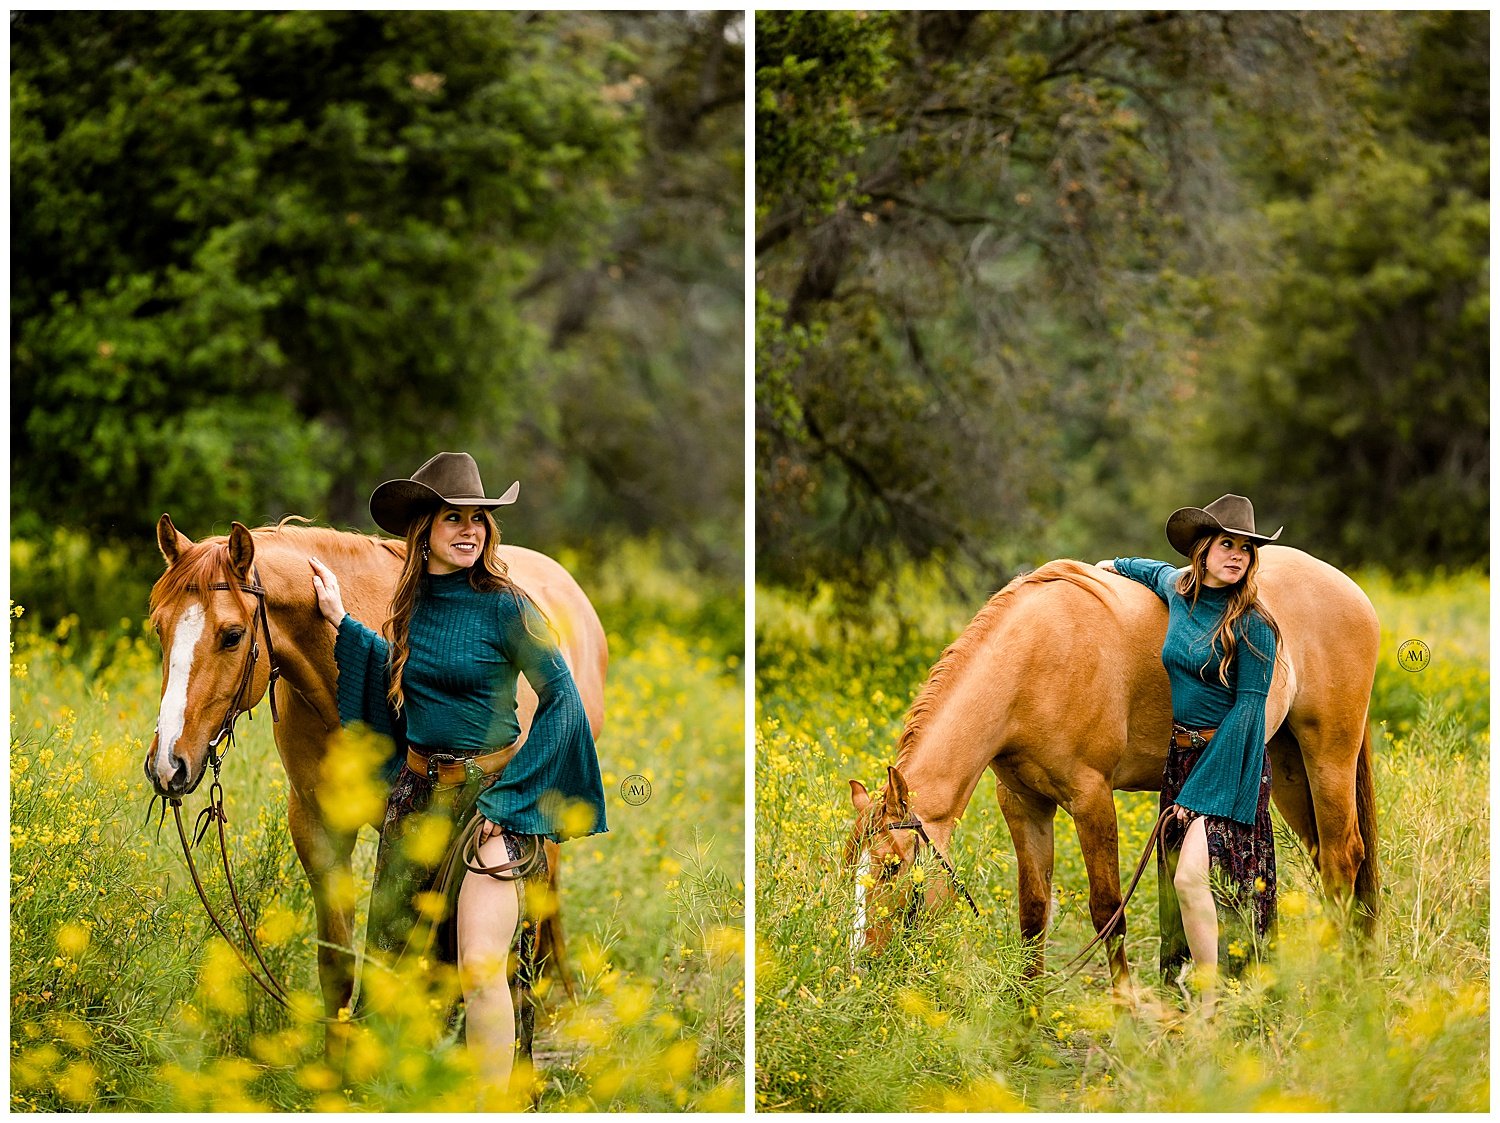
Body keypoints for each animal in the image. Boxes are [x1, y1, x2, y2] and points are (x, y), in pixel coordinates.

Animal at [846, 548, 1380, 983]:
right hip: (1288, 768)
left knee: (1342, 858)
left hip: (1328, 756)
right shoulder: (1023, 804)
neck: (1034, 661)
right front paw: (1025, 1023)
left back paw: (1338, 980)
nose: (862, 963)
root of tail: (1352, 590)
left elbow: (1107, 912)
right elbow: (1033, 912)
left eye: (892, 868)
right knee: (1324, 858)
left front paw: (1124, 1014)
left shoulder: (1091, 799)